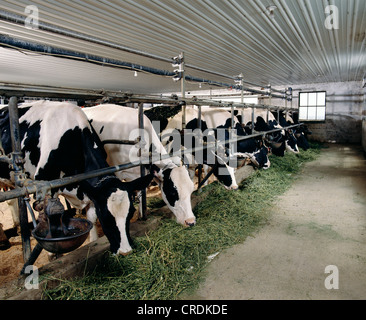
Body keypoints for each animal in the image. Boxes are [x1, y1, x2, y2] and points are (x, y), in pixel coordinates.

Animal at [0, 100, 153, 255]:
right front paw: (52, 254)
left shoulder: (92, 189)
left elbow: (91, 217)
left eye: (131, 213)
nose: (125, 251)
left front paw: (93, 241)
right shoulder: (46, 186)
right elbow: (47, 218)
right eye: (106, 217)